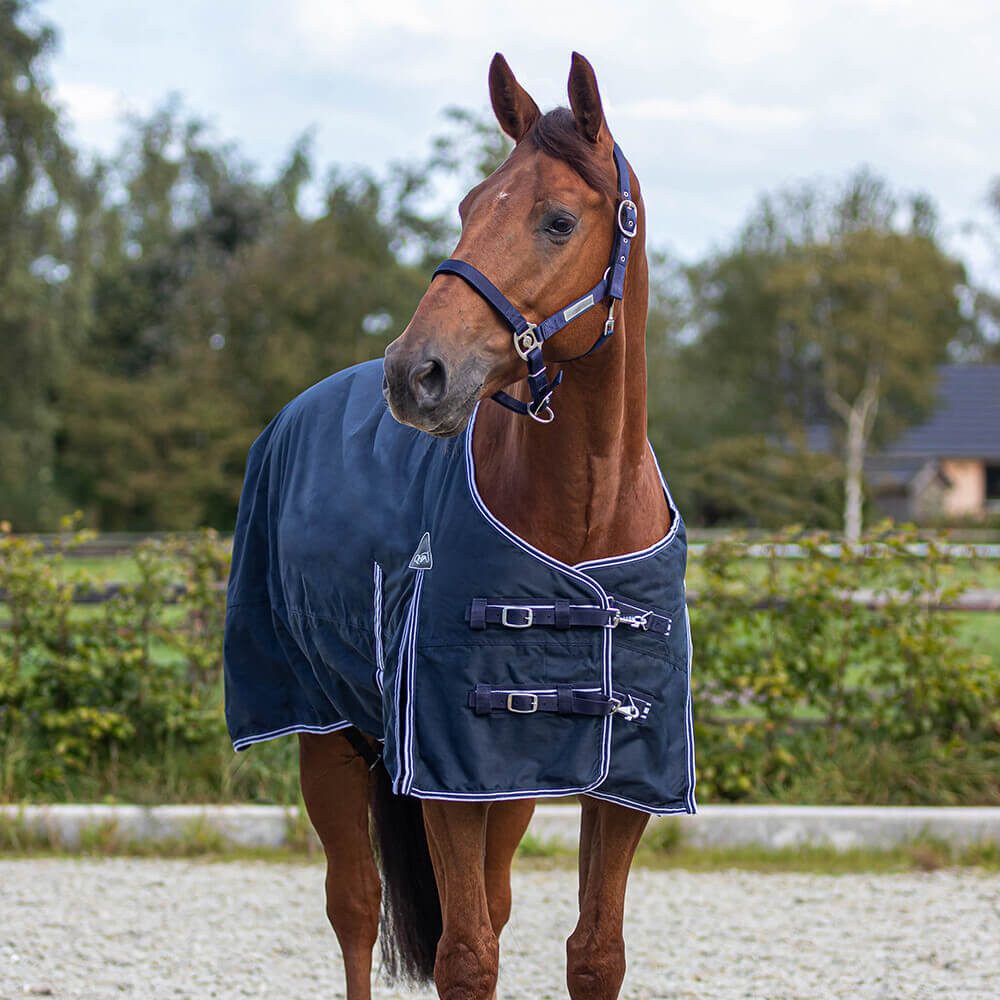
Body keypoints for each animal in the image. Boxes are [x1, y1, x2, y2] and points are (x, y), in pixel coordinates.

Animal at [223, 52, 695, 999]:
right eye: (471, 206)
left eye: (558, 219)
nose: (416, 373)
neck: (582, 523)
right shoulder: (441, 770)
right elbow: (465, 957)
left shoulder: (622, 781)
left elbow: (594, 955)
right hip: (328, 735)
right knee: (355, 907)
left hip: (502, 784)